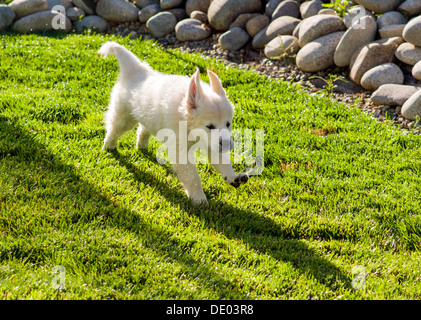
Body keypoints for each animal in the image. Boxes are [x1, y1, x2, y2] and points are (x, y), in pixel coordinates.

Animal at [97, 41, 248, 202]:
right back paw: (109, 146)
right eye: (209, 126)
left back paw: (141, 145)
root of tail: (135, 70)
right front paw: (199, 199)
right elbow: (192, 177)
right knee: (114, 129)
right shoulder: (180, 151)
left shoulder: (212, 144)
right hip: (124, 118)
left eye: (228, 124)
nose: (227, 145)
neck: (187, 124)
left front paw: (233, 178)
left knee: (143, 129)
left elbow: (222, 163)